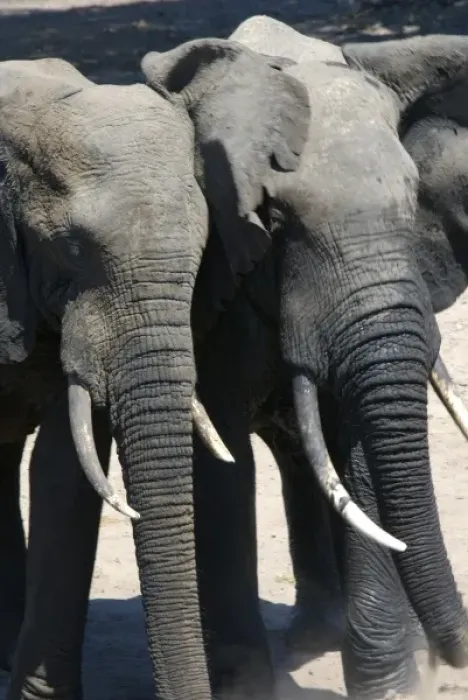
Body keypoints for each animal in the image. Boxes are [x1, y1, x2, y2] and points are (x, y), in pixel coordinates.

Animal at [139, 17, 468, 700]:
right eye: (276, 220)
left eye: (413, 200)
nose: (454, 656)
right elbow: (223, 462)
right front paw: (243, 686)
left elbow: (358, 444)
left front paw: (392, 687)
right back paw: (316, 638)